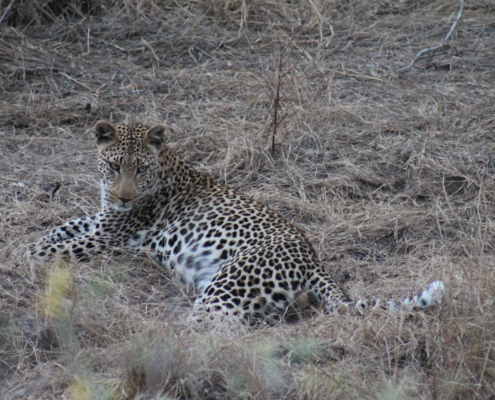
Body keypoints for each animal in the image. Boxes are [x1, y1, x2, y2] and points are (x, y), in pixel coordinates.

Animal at [31, 120, 446, 324]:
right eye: (115, 166)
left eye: (140, 169)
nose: (125, 197)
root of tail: (312, 258)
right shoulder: (101, 220)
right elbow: (58, 231)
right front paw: (32, 242)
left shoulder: (109, 235)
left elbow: (52, 250)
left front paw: (25, 258)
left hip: (226, 286)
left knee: (210, 331)